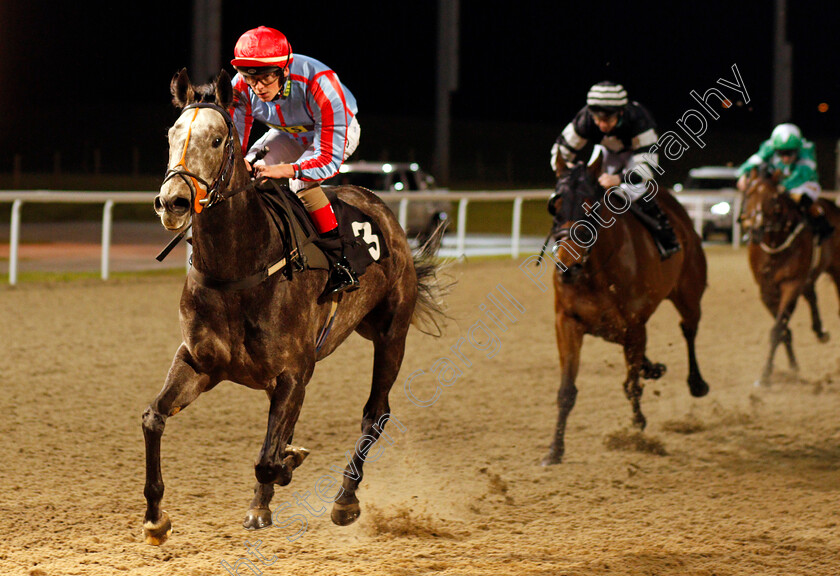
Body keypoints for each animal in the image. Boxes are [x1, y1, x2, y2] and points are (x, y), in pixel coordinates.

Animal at [144, 68, 446, 544]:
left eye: (217, 140)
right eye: (172, 134)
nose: (172, 201)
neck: (241, 267)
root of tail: (382, 210)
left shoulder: (293, 372)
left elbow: (268, 459)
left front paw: (290, 462)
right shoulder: (199, 362)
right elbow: (154, 417)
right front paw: (156, 517)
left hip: (391, 333)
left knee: (374, 414)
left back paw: (344, 500)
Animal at [540, 155, 712, 466]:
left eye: (590, 207)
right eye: (555, 208)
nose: (568, 268)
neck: (594, 271)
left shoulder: (633, 324)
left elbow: (632, 385)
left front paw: (637, 429)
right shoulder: (567, 322)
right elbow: (567, 391)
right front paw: (554, 450)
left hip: (689, 294)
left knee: (689, 329)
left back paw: (696, 382)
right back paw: (652, 367)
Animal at [740, 166, 840, 388]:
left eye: (773, 198)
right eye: (749, 193)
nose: (755, 227)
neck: (775, 245)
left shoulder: (792, 284)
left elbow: (778, 329)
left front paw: (765, 375)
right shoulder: (766, 290)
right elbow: (784, 331)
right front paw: (792, 367)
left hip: (835, 270)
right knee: (811, 295)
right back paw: (820, 331)